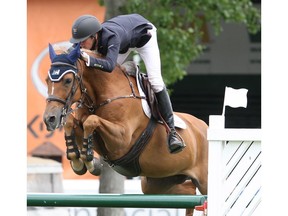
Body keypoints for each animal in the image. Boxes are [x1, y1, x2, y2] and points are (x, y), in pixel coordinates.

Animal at [43, 43, 207, 215]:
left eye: (68, 80)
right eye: (47, 80)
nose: (49, 119)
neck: (100, 96)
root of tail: (204, 126)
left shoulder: (121, 140)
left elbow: (91, 121)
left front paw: (89, 161)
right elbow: (71, 122)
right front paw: (78, 161)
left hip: (203, 180)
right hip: (158, 182)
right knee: (189, 190)